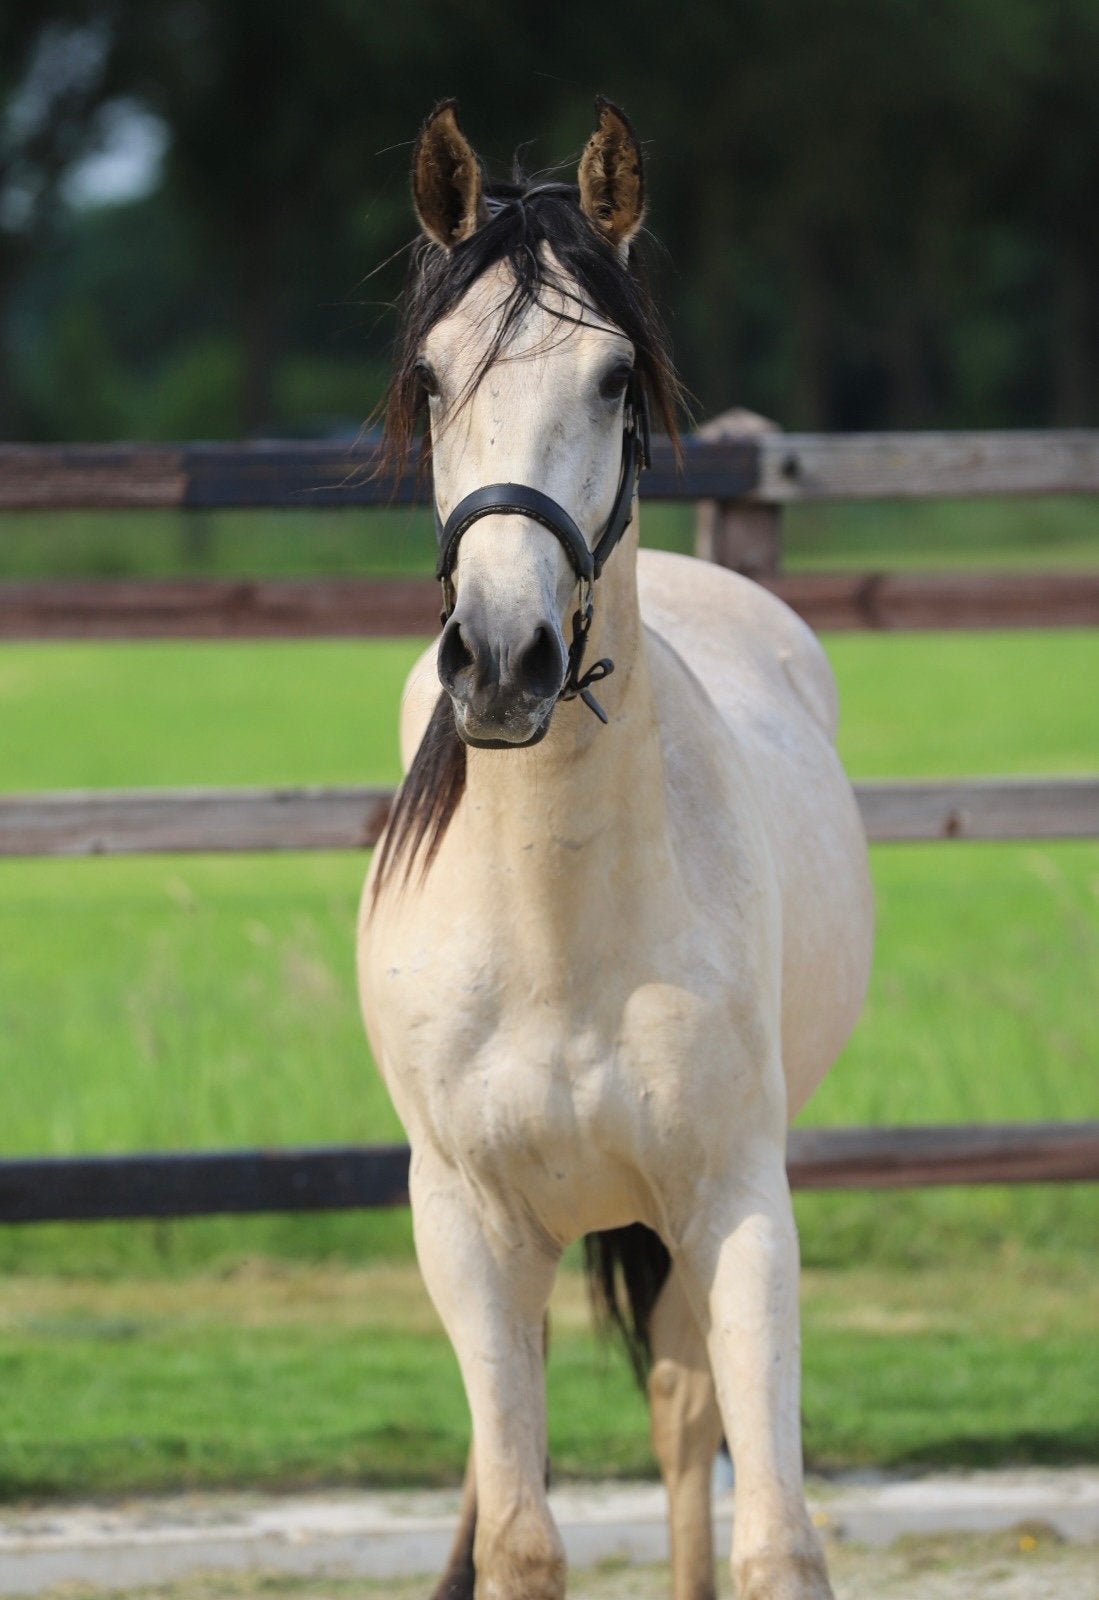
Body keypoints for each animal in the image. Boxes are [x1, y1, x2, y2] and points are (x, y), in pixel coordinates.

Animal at [358, 98, 874, 1600]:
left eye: (612, 378)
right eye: (431, 377)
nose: (502, 658)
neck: (555, 928)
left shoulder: (733, 1206)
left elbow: (771, 1534)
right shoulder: (468, 1231)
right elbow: (521, 1537)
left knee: (684, 1411)